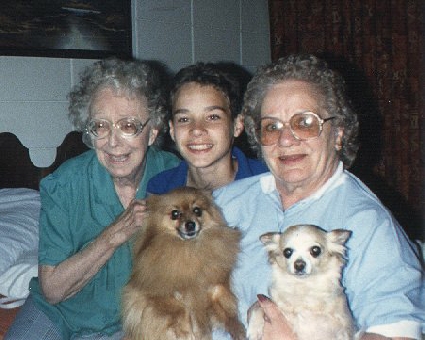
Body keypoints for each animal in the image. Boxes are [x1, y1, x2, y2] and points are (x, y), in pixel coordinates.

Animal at [121, 187, 245, 338]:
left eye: (197, 211)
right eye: (175, 214)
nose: (190, 224)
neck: (189, 248)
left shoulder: (216, 290)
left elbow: (228, 313)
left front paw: (238, 330)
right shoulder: (158, 297)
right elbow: (180, 313)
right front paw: (187, 332)